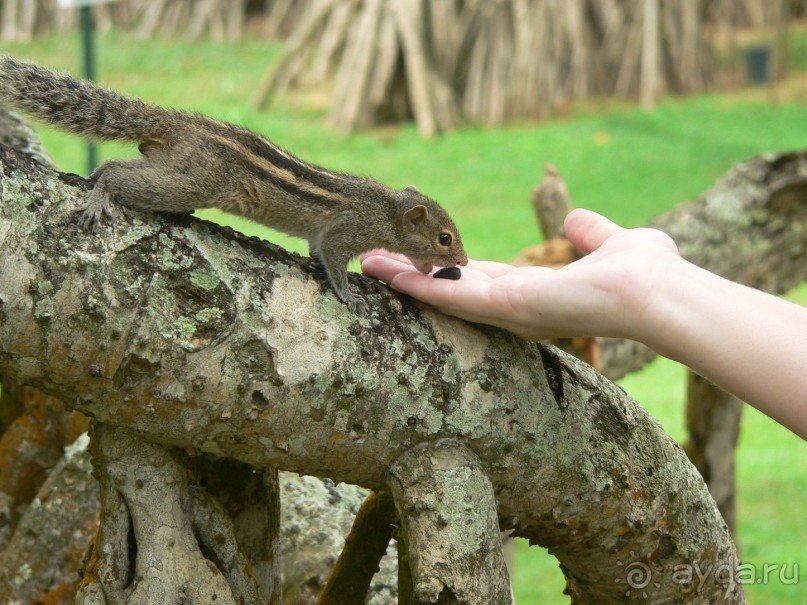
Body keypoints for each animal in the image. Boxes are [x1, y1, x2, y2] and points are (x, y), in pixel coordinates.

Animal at [1, 55, 468, 316]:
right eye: (444, 238)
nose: (462, 261)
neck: (387, 211)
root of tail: (181, 123)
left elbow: (316, 248)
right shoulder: (349, 229)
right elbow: (334, 258)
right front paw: (350, 295)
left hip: (173, 166)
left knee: (125, 159)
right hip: (191, 180)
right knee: (118, 172)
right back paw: (100, 196)